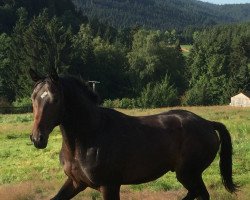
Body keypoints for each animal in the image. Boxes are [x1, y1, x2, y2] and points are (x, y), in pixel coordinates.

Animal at [28, 69, 236, 200]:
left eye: (55, 99)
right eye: (33, 97)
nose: (38, 138)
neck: (89, 138)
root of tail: (207, 123)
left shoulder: (109, 186)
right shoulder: (76, 182)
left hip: (188, 173)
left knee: (200, 194)